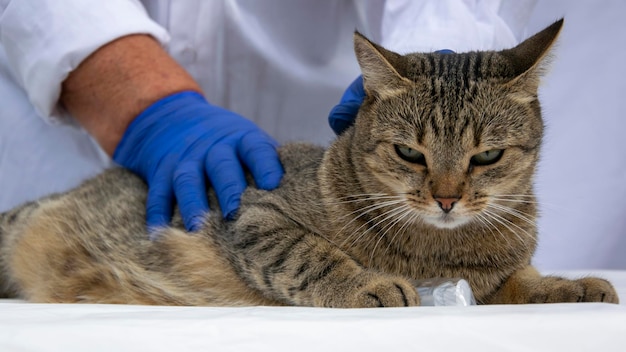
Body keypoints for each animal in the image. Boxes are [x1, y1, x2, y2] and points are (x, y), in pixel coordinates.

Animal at [0, 19, 616, 306]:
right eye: (409, 152)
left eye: (487, 155)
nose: (446, 198)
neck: (439, 250)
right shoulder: (251, 211)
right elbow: (311, 256)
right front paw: (368, 284)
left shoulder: (498, 276)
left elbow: (525, 280)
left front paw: (573, 286)